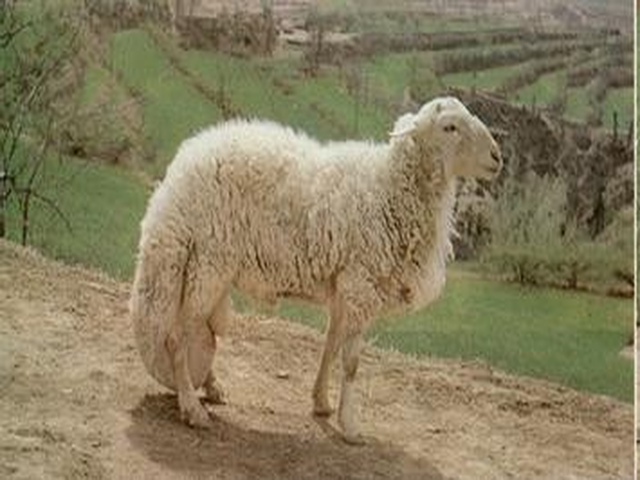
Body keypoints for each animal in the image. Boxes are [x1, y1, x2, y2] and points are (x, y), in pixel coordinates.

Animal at [129, 96, 502, 444]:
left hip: (211, 269)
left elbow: (330, 345)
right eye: (450, 127)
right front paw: (350, 426)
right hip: (208, 262)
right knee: (177, 336)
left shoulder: (343, 288)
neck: (388, 188)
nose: (497, 156)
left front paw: (321, 402)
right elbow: (351, 362)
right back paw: (191, 407)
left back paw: (210, 387)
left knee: (201, 328)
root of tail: (178, 174)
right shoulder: (361, 284)